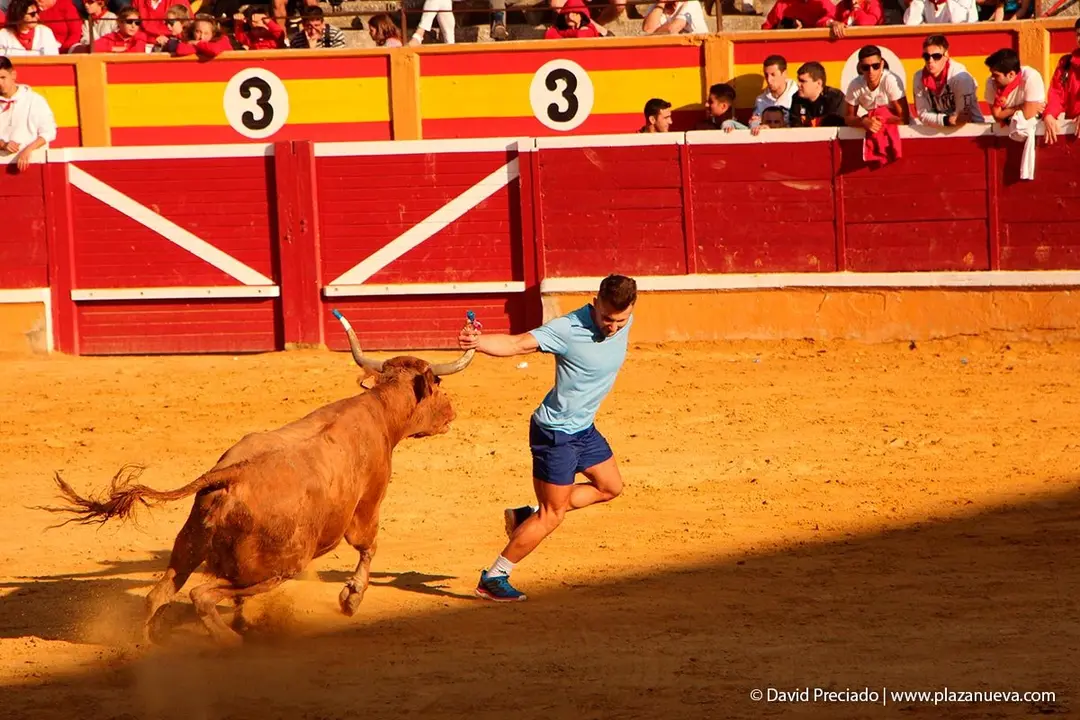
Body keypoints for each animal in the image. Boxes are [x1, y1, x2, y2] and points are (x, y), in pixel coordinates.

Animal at [45, 311, 474, 646]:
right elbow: (368, 547)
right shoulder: (367, 506)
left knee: (159, 594)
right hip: (275, 567)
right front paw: (350, 599)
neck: (378, 411)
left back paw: (149, 645)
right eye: (438, 385)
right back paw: (229, 640)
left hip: (189, 546)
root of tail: (231, 476)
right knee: (201, 594)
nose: (452, 410)